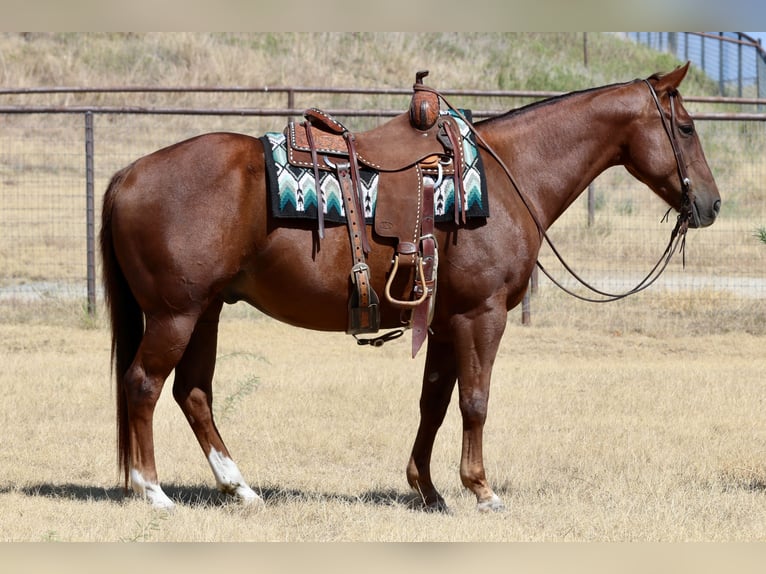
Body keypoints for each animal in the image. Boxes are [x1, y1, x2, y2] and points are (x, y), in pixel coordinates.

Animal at [100, 62, 720, 512]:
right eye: (687, 127)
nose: (712, 204)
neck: (508, 178)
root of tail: (128, 173)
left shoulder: (444, 321)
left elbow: (434, 403)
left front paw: (427, 488)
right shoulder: (481, 315)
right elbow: (474, 401)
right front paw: (482, 489)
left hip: (205, 310)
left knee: (193, 394)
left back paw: (240, 488)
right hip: (175, 313)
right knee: (143, 385)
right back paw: (154, 491)